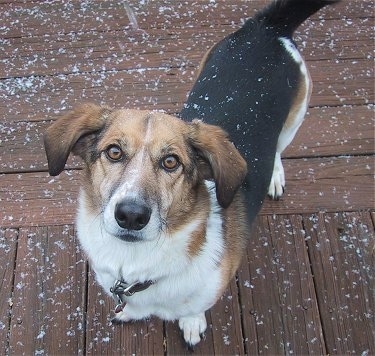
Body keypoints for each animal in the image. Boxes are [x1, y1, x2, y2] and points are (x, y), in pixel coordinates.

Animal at [44, 0, 340, 348]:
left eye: (171, 162)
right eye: (114, 152)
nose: (131, 215)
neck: (138, 262)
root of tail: (266, 27)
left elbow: (194, 309)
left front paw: (191, 323)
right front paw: (129, 313)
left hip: (296, 117)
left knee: (279, 148)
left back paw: (275, 176)